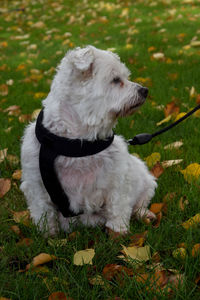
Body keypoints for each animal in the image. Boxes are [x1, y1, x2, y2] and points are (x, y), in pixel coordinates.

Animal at [20, 45, 158, 236]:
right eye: (116, 80)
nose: (144, 90)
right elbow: (44, 214)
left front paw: (118, 233)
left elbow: (118, 208)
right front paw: (49, 236)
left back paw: (145, 214)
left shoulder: (118, 180)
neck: (77, 143)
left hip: (146, 181)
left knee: (140, 202)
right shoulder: (36, 185)